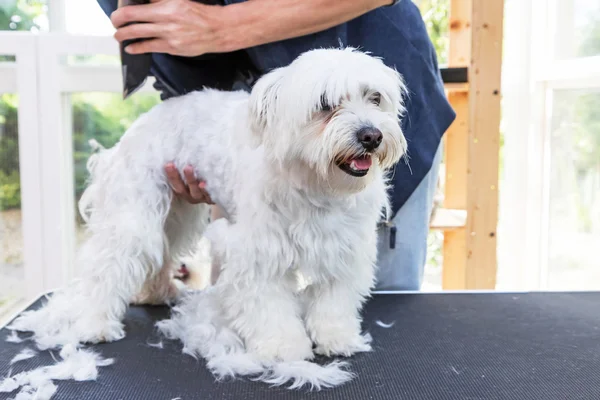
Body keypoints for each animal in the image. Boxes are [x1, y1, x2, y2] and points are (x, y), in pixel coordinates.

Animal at [11, 47, 408, 388]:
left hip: (178, 212)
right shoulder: (257, 255)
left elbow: (333, 302)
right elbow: (269, 307)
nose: (371, 135)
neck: (317, 183)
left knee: (162, 252)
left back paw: (157, 292)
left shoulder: (345, 250)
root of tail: (138, 125)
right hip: (136, 215)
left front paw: (336, 337)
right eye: (325, 105)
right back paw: (95, 322)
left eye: (375, 98)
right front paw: (284, 347)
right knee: (108, 267)